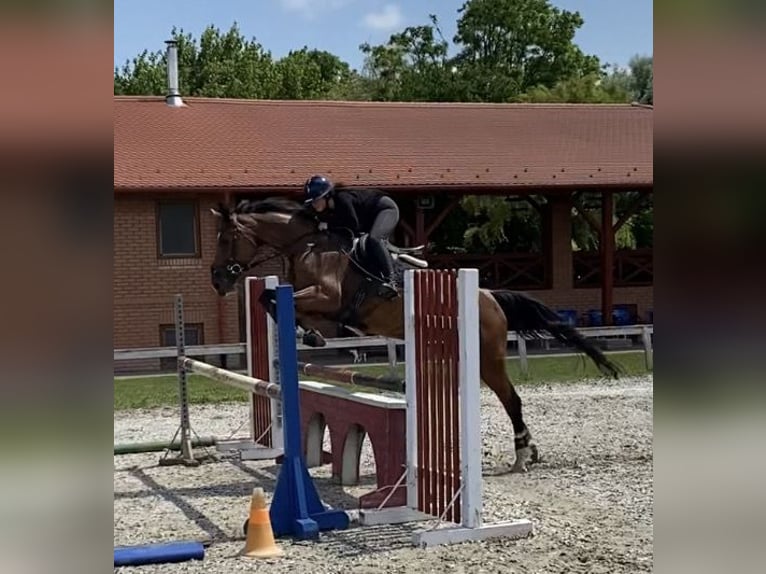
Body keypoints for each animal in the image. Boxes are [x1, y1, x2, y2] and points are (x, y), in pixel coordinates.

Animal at [210, 197, 624, 472]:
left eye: (226, 239)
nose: (217, 280)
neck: (308, 246)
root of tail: (489, 297)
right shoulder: (318, 302)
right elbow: (270, 299)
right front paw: (309, 334)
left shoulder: (328, 297)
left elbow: (278, 299)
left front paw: (311, 335)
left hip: (488, 357)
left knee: (512, 399)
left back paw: (523, 454)